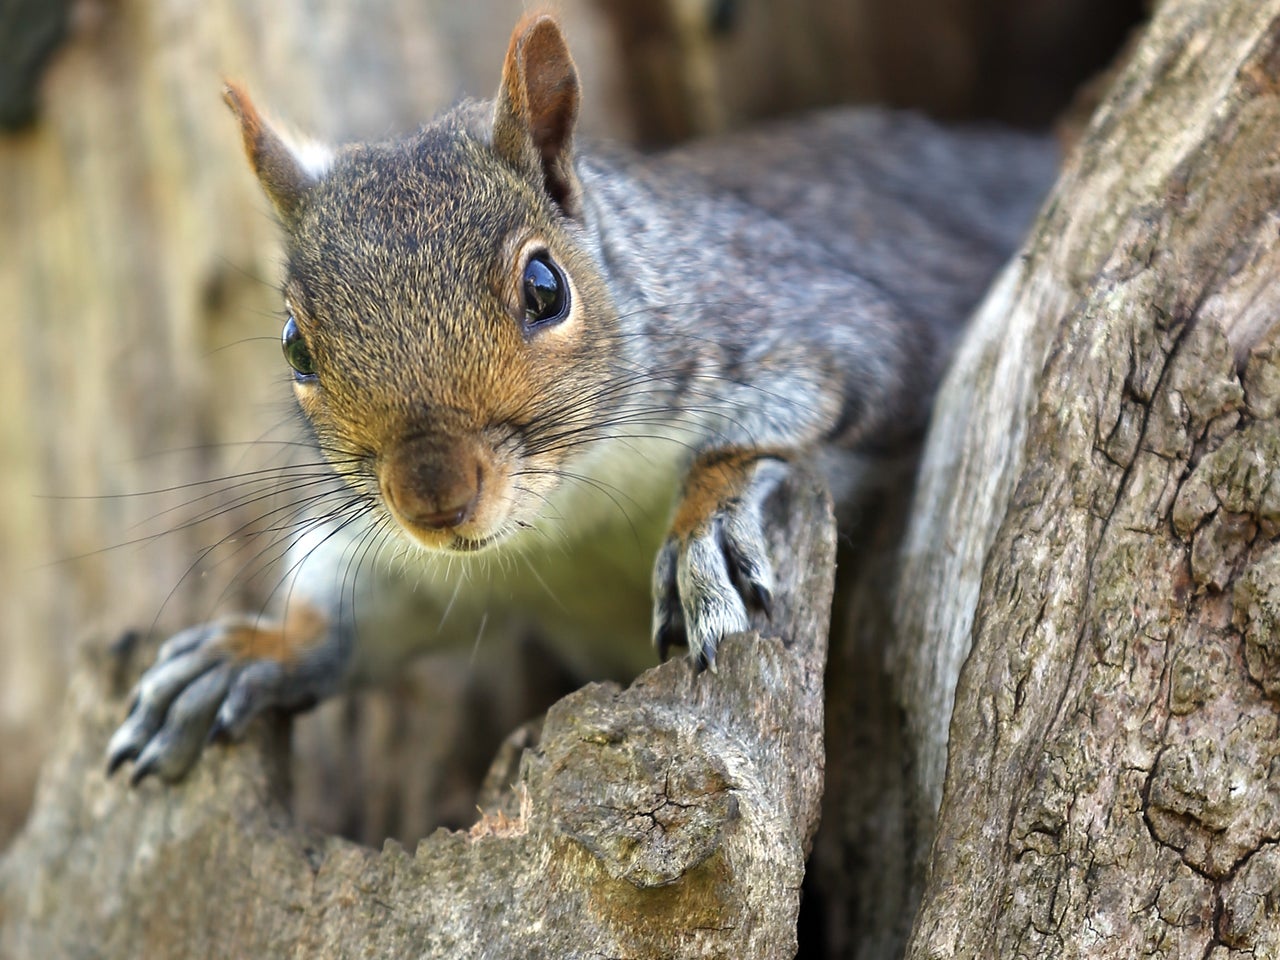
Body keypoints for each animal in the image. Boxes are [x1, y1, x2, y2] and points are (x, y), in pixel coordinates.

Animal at [107, 11, 1049, 783]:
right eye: (295, 346)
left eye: (545, 288)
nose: (432, 499)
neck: (568, 514)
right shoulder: (414, 558)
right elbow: (360, 610)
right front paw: (250, 650)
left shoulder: (821, 326)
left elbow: (789, 417)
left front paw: (704, 527)